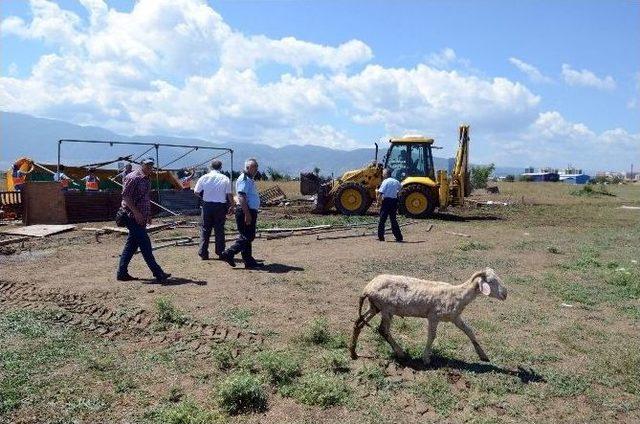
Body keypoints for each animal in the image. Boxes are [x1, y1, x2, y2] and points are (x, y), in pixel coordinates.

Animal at [350, 268, 504, 364]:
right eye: (491, 281)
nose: (505, 294)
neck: (458, 294)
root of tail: (367, 289)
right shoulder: (433, 317)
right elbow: (432, 336)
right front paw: (426, 358)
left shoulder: (455, 317)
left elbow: (469, 331)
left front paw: (483, 356)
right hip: (386, 309)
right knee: (383, 330)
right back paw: (400, 353)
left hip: (375, 307)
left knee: (358, 324)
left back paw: (353, 353)